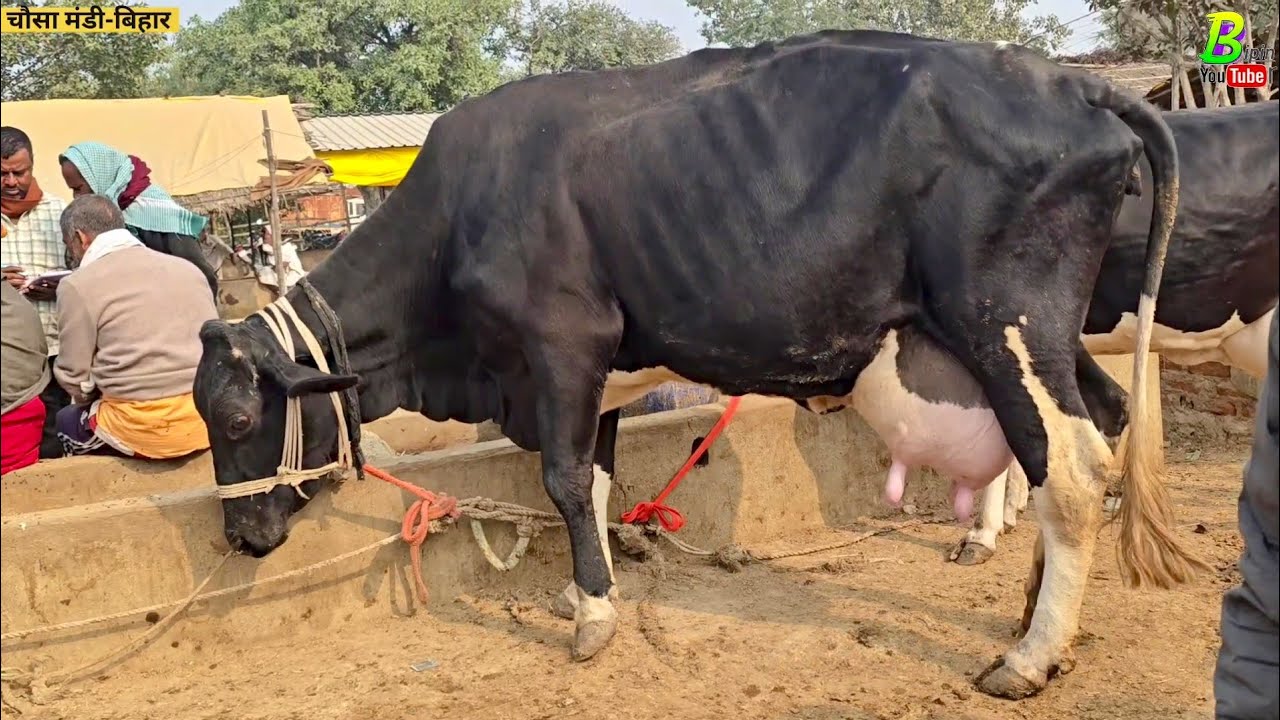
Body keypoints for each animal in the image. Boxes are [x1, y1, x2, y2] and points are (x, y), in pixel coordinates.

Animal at [192, 30, 1203, 699]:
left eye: (238, 419)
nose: (238, 536)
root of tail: (1068, 85)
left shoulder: (559, 345)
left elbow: (563, 480)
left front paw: (595, 619)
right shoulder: (596, 370)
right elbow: (597, 483)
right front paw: (581, 588)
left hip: (1006, 322)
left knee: (1070, 468)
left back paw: (1030, 656)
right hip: (1048, 337)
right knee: (1102, 420)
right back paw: (1032, 613)